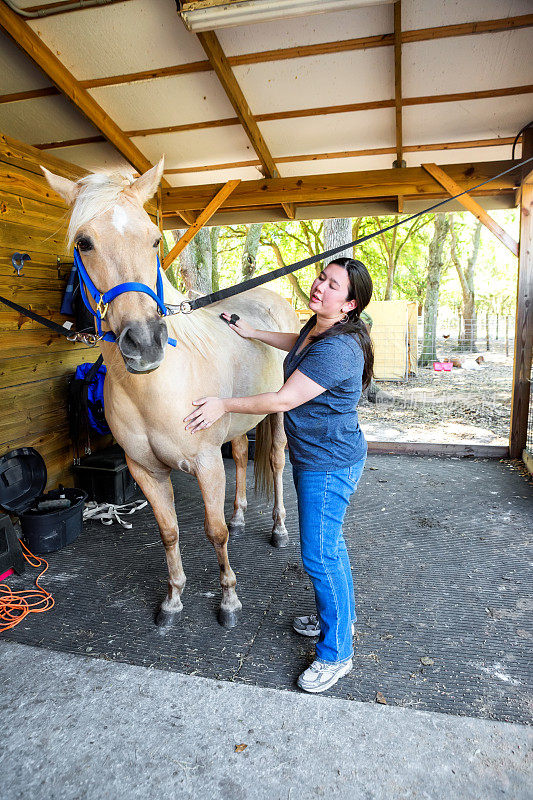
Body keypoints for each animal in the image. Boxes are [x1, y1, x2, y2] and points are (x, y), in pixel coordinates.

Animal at [41, 159, 300, 628]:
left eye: (154, 238)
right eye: (84, 243)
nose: (144, 342)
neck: (155, 389)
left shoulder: (205, 464)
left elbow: (213, 532)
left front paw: (228, 601)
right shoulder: (146, 471)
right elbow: (169, 531)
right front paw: (173, 598)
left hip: (276, 414)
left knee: (273, 462)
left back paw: (279, 529)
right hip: (238, 424)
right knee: (240, 455)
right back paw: (240, 515)